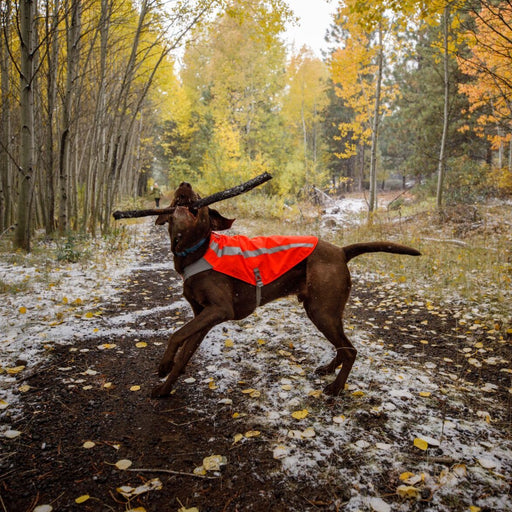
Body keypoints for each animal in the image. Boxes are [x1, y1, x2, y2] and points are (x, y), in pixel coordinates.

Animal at [151, 183, 420, 400]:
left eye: (199, 195)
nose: (184, 183)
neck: (194, 250)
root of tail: (341, 251)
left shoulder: (219, 309)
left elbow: (176, 334)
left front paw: (164, 364)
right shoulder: (202, 316)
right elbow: (185, 351)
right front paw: (166, 388)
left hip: (321, 311)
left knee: (350, 350)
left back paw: (336, 387)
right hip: (326, 312)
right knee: (343, 347)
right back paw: (328, 370)